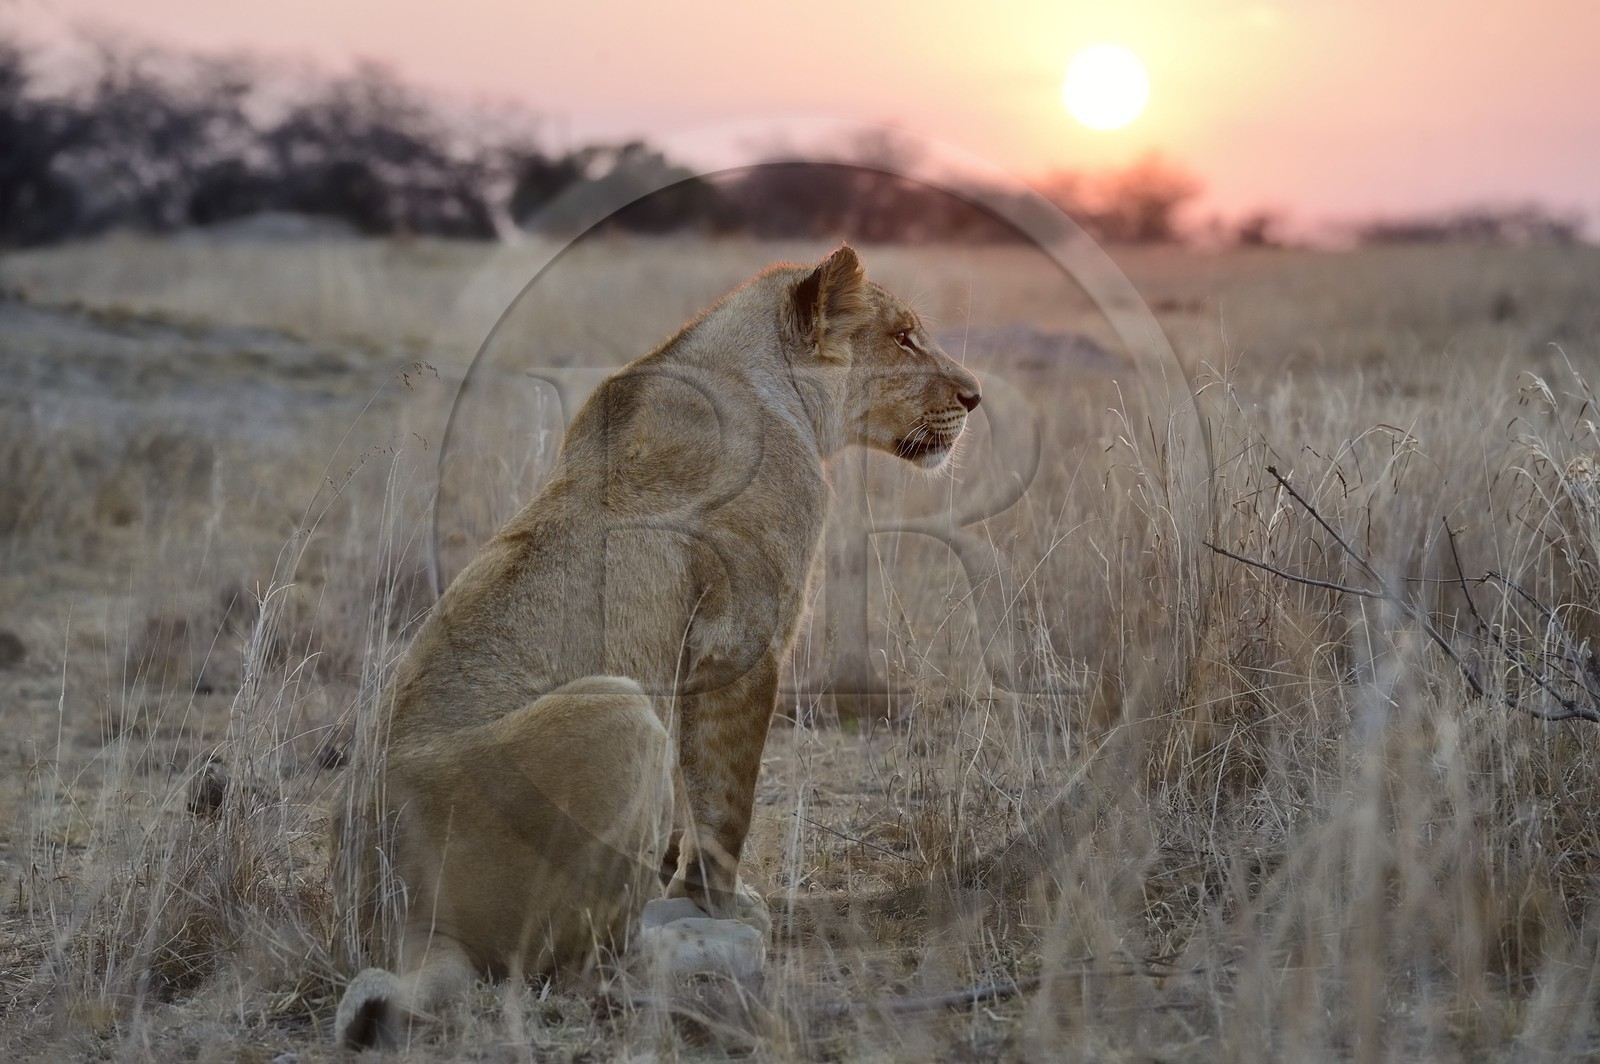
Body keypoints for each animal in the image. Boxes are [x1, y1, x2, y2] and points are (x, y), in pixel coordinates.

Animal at [333, 244, 981, 1048]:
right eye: (904, 338)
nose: (976, 397)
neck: (769, 389)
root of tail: (404, 920)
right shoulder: (741, 639)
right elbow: (725, 799)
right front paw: (716, 904)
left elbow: (690, 790)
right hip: (615, 708)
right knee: (573, 963)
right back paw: (702, 942)